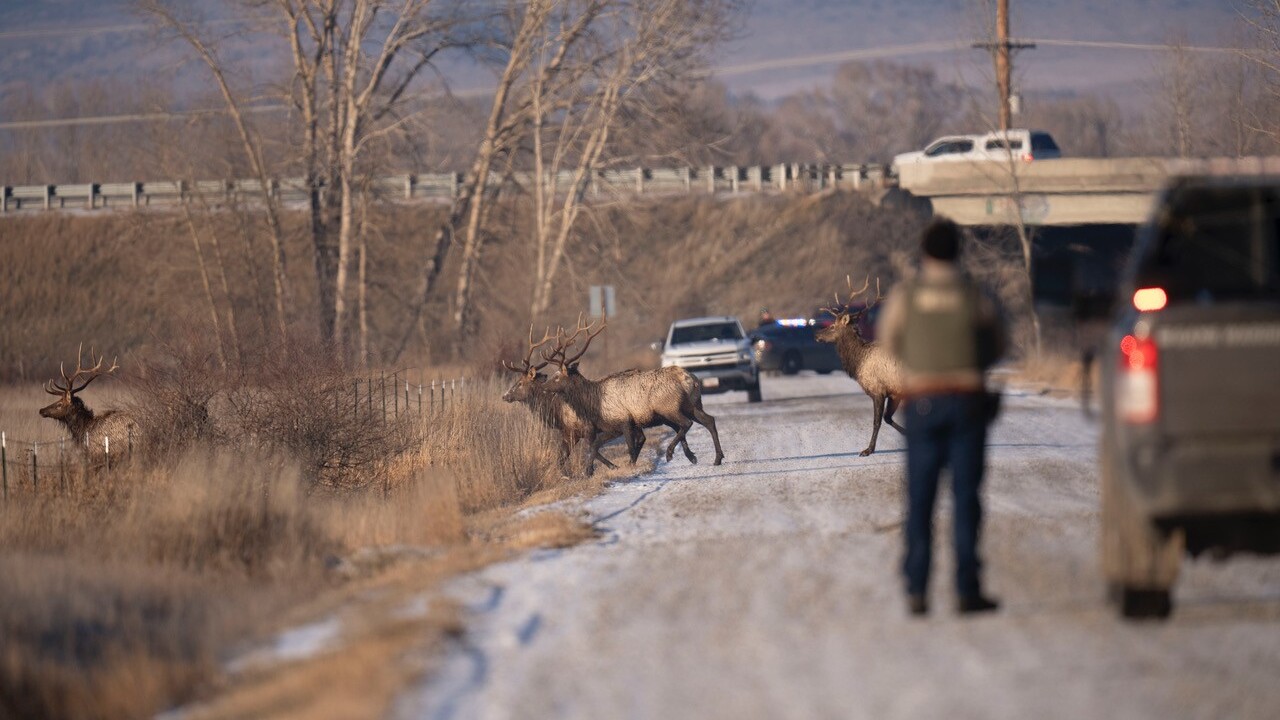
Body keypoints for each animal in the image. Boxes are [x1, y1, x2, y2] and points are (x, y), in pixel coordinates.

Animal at [501, 326, 619, 471]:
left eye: (520, 383)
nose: (505, 395)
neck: (555, 410)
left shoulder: (586, 428)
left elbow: (591, 450)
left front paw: (612, 466)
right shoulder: (568, 432)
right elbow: (562, 457)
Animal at [540, 316, 724, 474]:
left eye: (557, 377)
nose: (544, 387)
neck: (594, 404)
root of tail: (689, 379)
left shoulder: (625, 421)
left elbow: (629, 446)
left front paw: (625, 466)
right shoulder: (612, 427)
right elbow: (596, 445)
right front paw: (589, 470)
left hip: (670, 407)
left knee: (686, 424)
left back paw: (671, 452)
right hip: (693, 404)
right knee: (709, 420)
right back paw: (717, 458)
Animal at [815, 276, 907, 456]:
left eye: (833, 326)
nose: (816, 334)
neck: (859, 361)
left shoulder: (878, 389)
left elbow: (877, 421)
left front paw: (868, 449)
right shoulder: (894, 392)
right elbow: (887, 418)